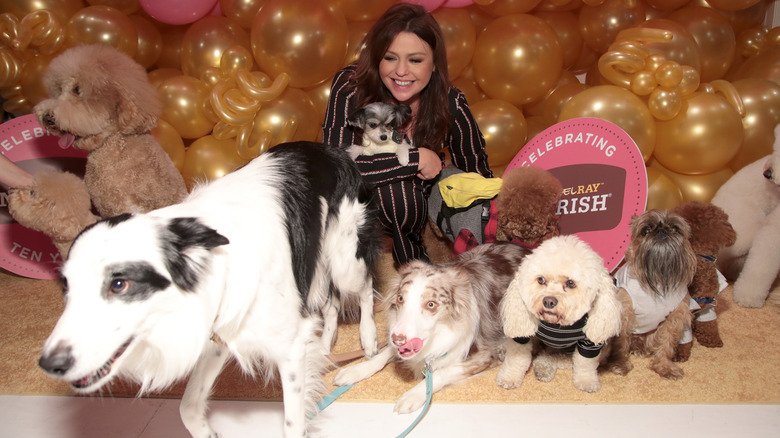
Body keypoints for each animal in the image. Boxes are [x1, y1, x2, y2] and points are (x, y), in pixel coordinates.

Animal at [620, 210, 696, 380]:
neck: (657, 279)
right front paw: (620, 364)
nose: (661, 230)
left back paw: (640, 348)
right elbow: (621, 341)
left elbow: (667, 344)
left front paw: (664, 367)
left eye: (675, 228)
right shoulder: (625, 312)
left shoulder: (675, 318)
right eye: (646, 230)